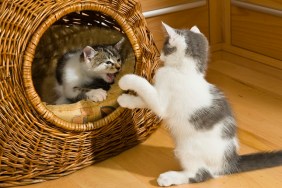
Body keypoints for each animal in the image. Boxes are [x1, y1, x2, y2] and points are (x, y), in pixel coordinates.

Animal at [117, 22, 282, 186]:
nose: (160, 55)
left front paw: (126, 80)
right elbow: (143, 100)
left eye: (165, 46)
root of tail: (230, 161)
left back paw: (169, 178)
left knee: (201, 173)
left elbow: (146, 88)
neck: (185, 72)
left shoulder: (161, 101)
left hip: (188, 148)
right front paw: (126, 100)